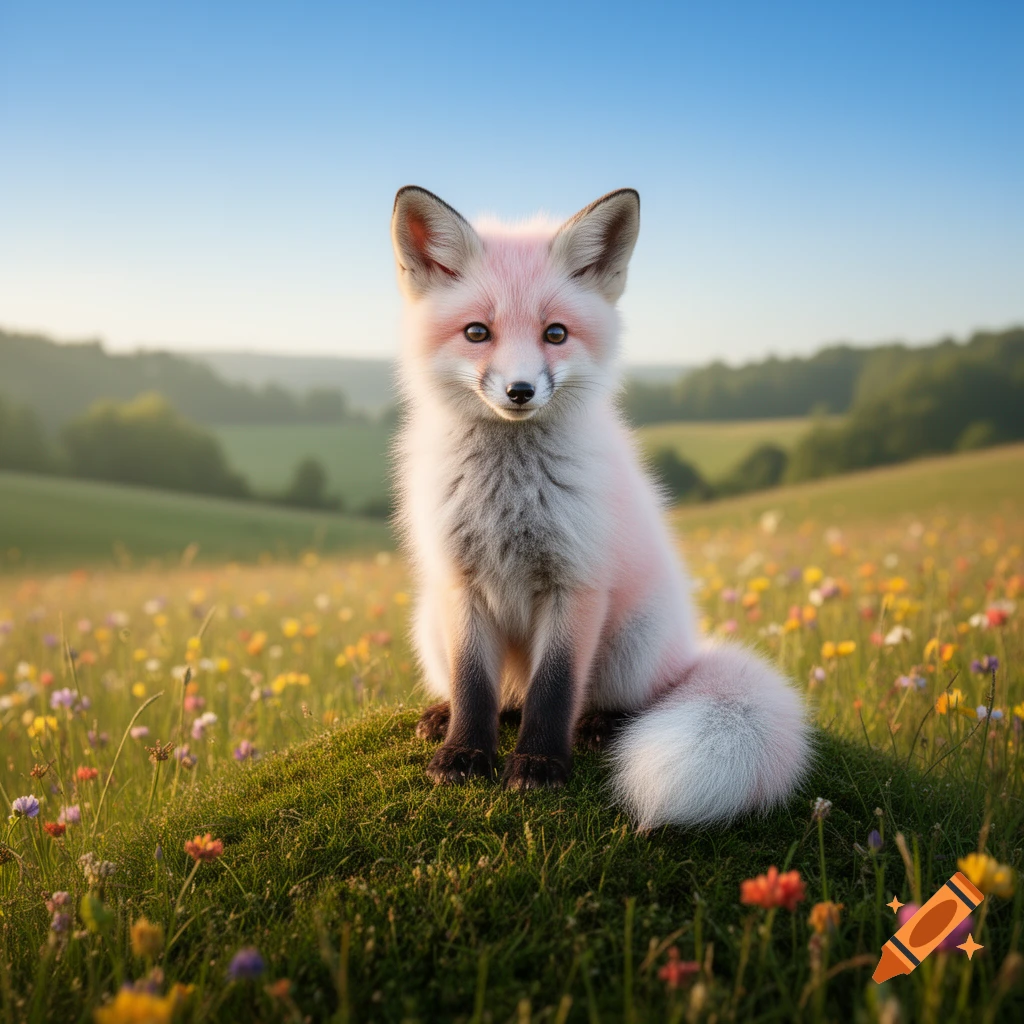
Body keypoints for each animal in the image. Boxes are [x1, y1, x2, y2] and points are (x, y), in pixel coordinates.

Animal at [389, 185, 810, 829]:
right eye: (477, 333)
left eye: (556, 334)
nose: (519, 392)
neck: (510, 494)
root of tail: (690, 651)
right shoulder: (462, 583)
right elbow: (473, 687)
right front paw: (464, 754)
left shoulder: (577, 583)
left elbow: (554, 690)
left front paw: (538, 766)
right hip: (429, 623)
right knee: (502, 697)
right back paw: (451, 715)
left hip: (630, 649)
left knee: (617, 701)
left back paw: (599, 726)